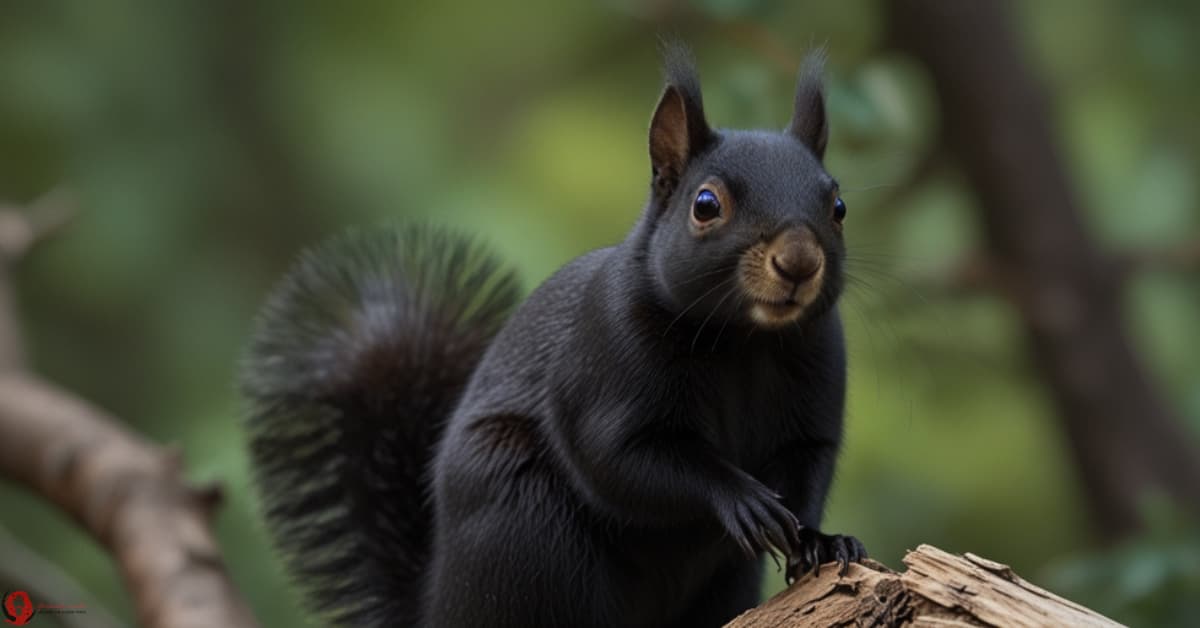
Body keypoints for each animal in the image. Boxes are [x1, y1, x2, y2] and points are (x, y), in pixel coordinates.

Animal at [241, 45, 864, 628]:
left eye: (838, 205)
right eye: (706, 204)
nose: (799, 262)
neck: (741, 341)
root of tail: (438, 603)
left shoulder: (816, 382)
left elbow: (808, 466)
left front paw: (823, 540)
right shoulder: (604, 363)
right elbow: (623, 460)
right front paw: (741, 498)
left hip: (724, 582)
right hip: (522, 520)